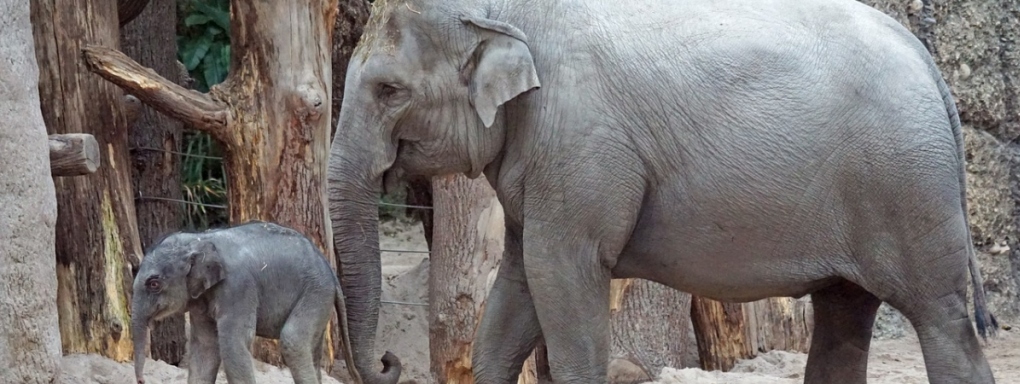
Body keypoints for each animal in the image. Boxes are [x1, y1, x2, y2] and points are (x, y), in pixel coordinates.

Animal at [128, 220, 397, 381]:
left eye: (153, 283)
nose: (142, 380)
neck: (200, 239)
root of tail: (330, 270)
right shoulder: (202, 300)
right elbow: (205, 347)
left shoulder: (238, 288)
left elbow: (233, 345)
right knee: (312, 350)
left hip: (315, 292)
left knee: (293, 340)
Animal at [328, 0, 995, 381]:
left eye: (388, 90)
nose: (387, 363)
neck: (500, 9)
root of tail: (923, 55)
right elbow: (516, 288)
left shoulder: (580, 145)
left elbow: (561, 276)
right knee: (844, 316)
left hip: (907, 185)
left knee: (942, 320)